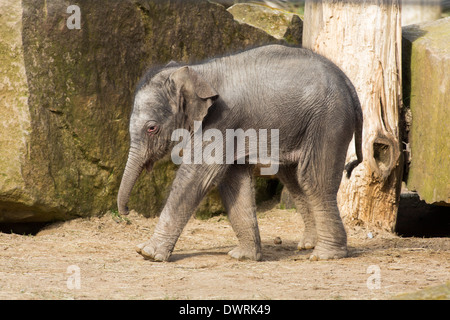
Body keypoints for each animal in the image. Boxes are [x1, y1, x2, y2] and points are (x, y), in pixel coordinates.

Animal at [116, 43, 362, 262]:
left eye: (151, 128)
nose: (126, 211)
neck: (198, 70)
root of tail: (349, 84)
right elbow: (233, 180)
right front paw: (243, 256)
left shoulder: (221, 120)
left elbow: (198, 175)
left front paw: (147, 253)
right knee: (293, 178)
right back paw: (308, 245)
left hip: (328, 120)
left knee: (313, 180)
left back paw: (325, 255)